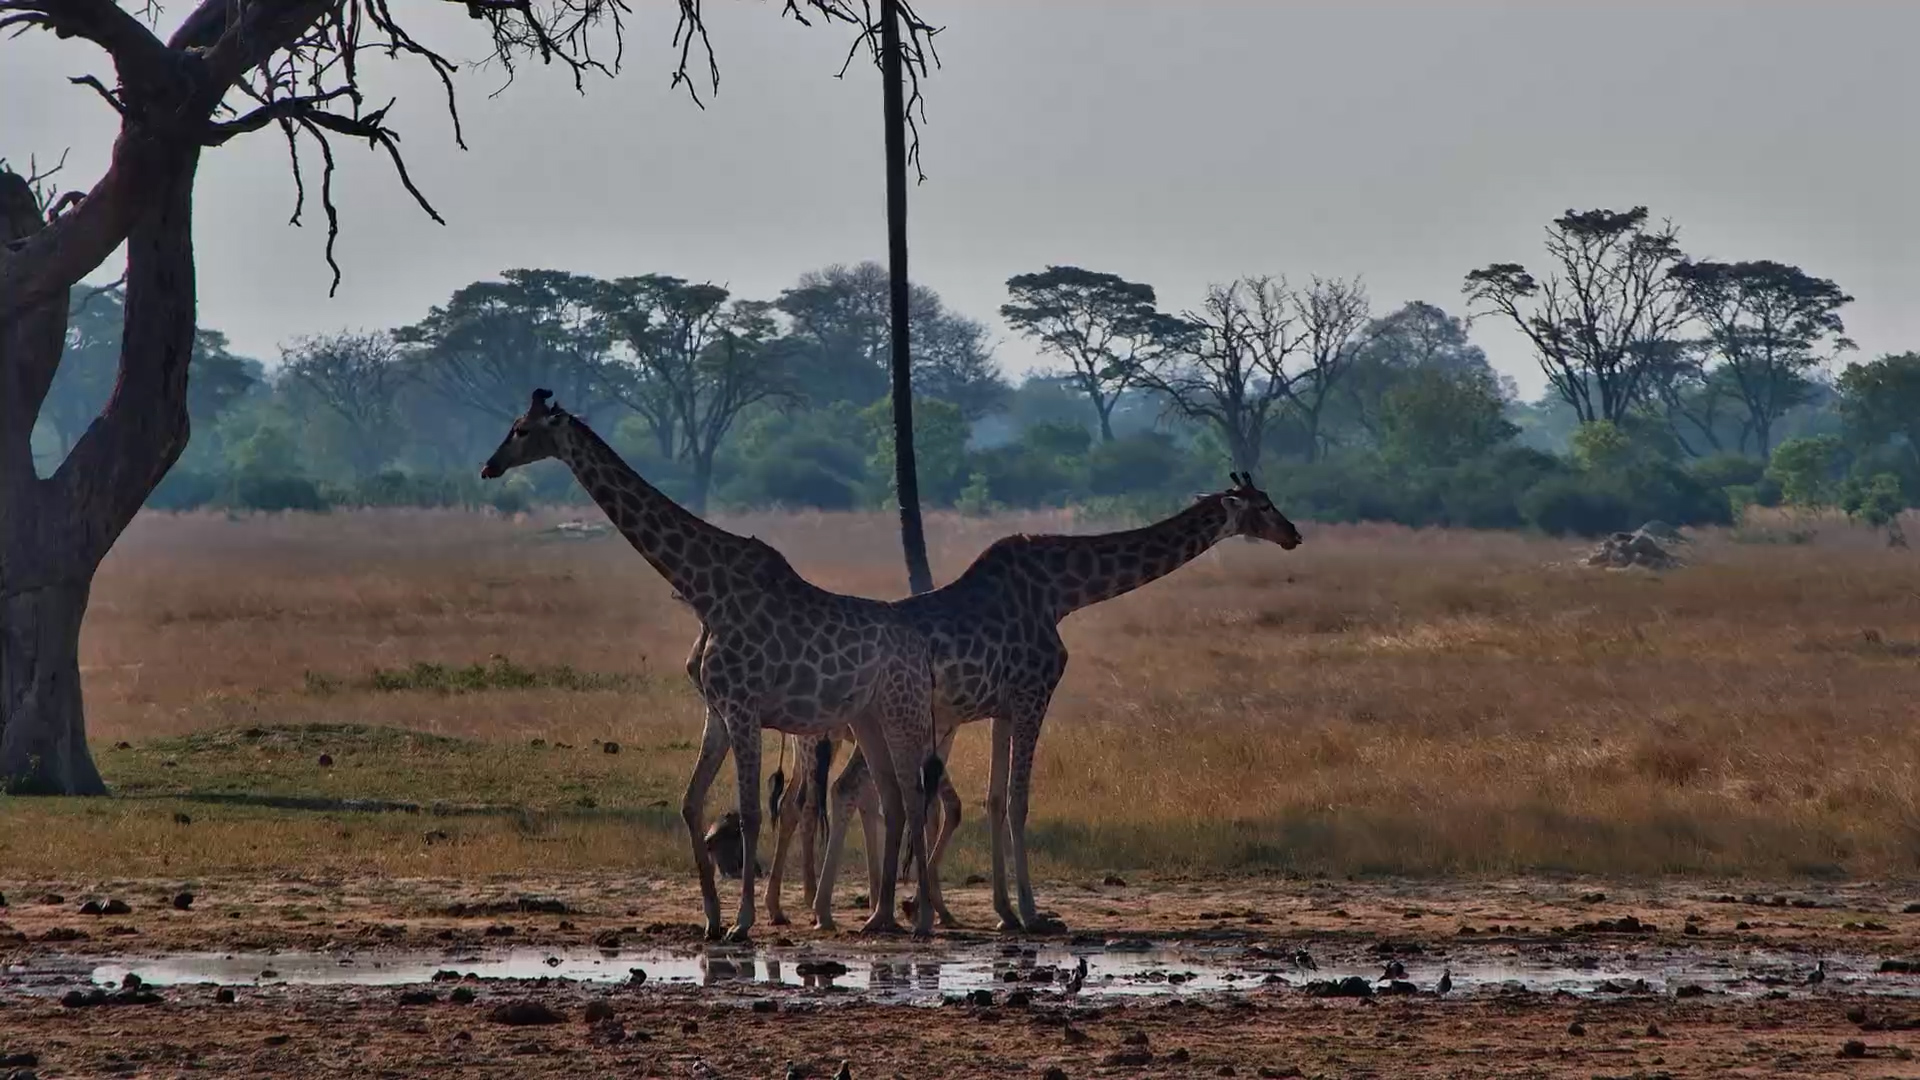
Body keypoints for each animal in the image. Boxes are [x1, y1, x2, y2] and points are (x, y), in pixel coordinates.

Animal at [480, 389, 944, 941]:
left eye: (522, 430)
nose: (489, 466)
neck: (706, 592)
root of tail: (920, 647)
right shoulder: (717, 710)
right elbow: (690, 802)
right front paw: (710, 917)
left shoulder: (744, 708)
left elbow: (750, 812)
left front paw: (741, 923)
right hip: (868, 718)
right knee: (892, 797)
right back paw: (881, 916)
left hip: (902, 712)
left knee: (913, 796)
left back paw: (919, 919)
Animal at [817, 473, 1302, 932]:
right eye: (1264, 504)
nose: (1294, 534)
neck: (1061, 594)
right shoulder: (1034, 694)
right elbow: (1018, 801)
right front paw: (1032, 914)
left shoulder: (1003, 708)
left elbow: (994, 799)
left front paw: (1005, 912)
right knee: (856, 789)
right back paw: (843, 911)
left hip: (882, 724)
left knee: (857, 789)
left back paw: (864, 911)